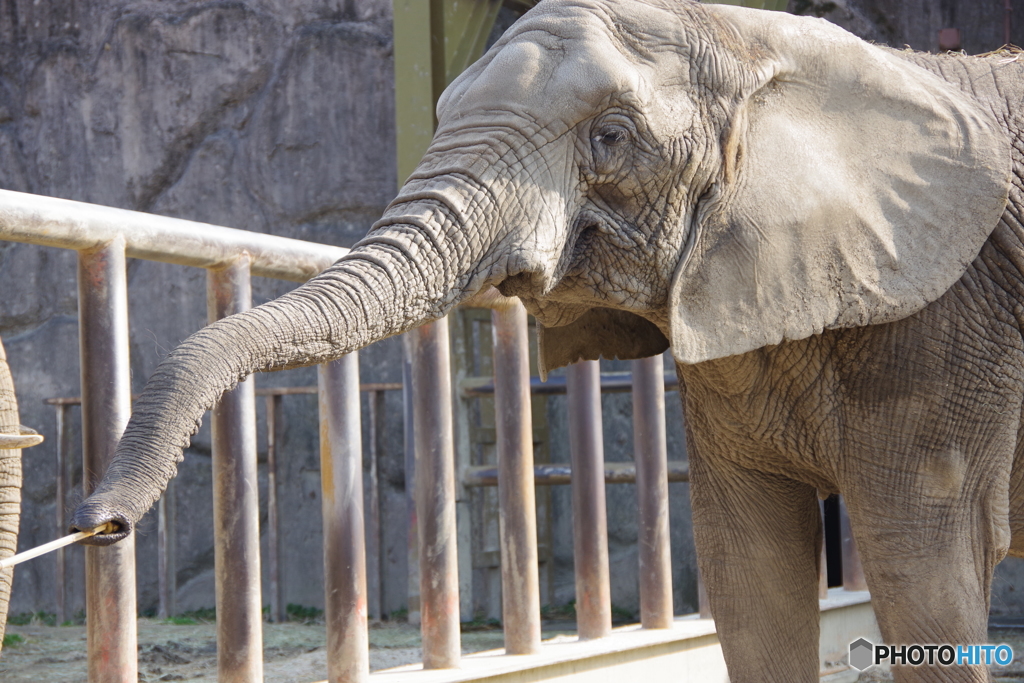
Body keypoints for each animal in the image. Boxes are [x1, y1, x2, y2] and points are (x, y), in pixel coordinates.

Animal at [68, 0, 1019, 679]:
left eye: (612, 135)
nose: (97, 521)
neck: (765, 40)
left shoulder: (947, 315)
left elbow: (921, 572)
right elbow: (750, 579)